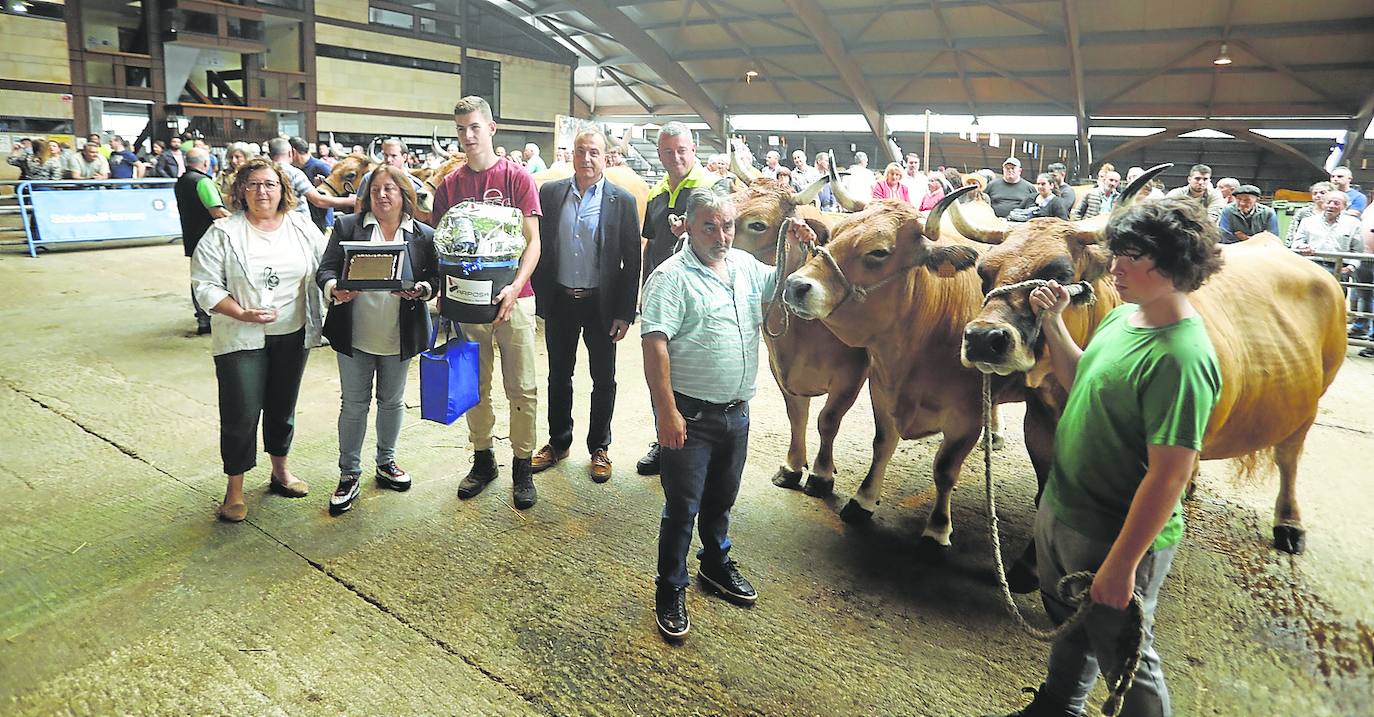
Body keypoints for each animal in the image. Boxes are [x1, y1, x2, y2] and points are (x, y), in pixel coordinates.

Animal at [956, 166, 1341, 552]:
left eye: (1060, 275)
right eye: (984, 273)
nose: (984, 338)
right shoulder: (1039, 426)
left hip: (1309, 405)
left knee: (1289, 456)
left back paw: (1289, 523)